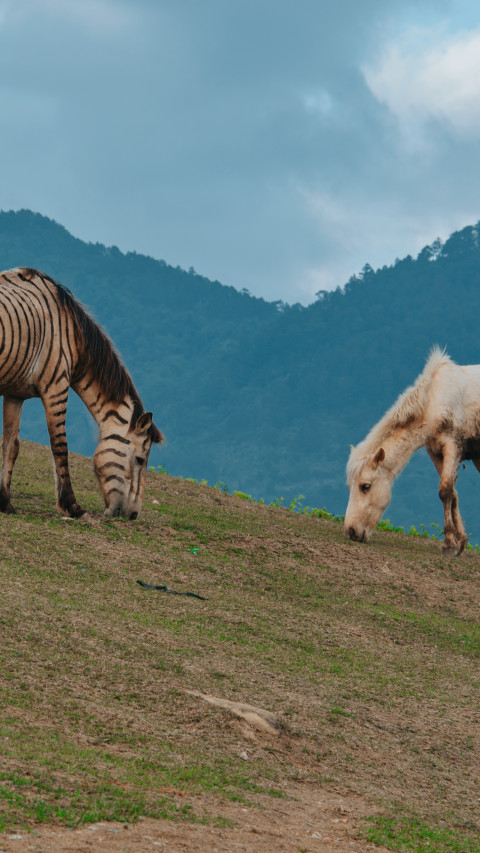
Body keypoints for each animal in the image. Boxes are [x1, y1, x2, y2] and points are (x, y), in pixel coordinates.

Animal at [0, 268, 163, 519]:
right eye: (139, 459)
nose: (133, 515)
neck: (72, 335)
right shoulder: (56, 386)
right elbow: (60, 447)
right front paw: (72, 506)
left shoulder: (15, 394)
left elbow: (11, 445)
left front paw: (4, 502)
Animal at [345, 347, 480, 556]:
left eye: (365, 486)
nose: (351, 531)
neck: (435, 400)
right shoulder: (435, 452)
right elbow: (453, 493)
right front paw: (460, 542)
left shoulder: (452, 446)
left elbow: (445, 490)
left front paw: (449, 544)